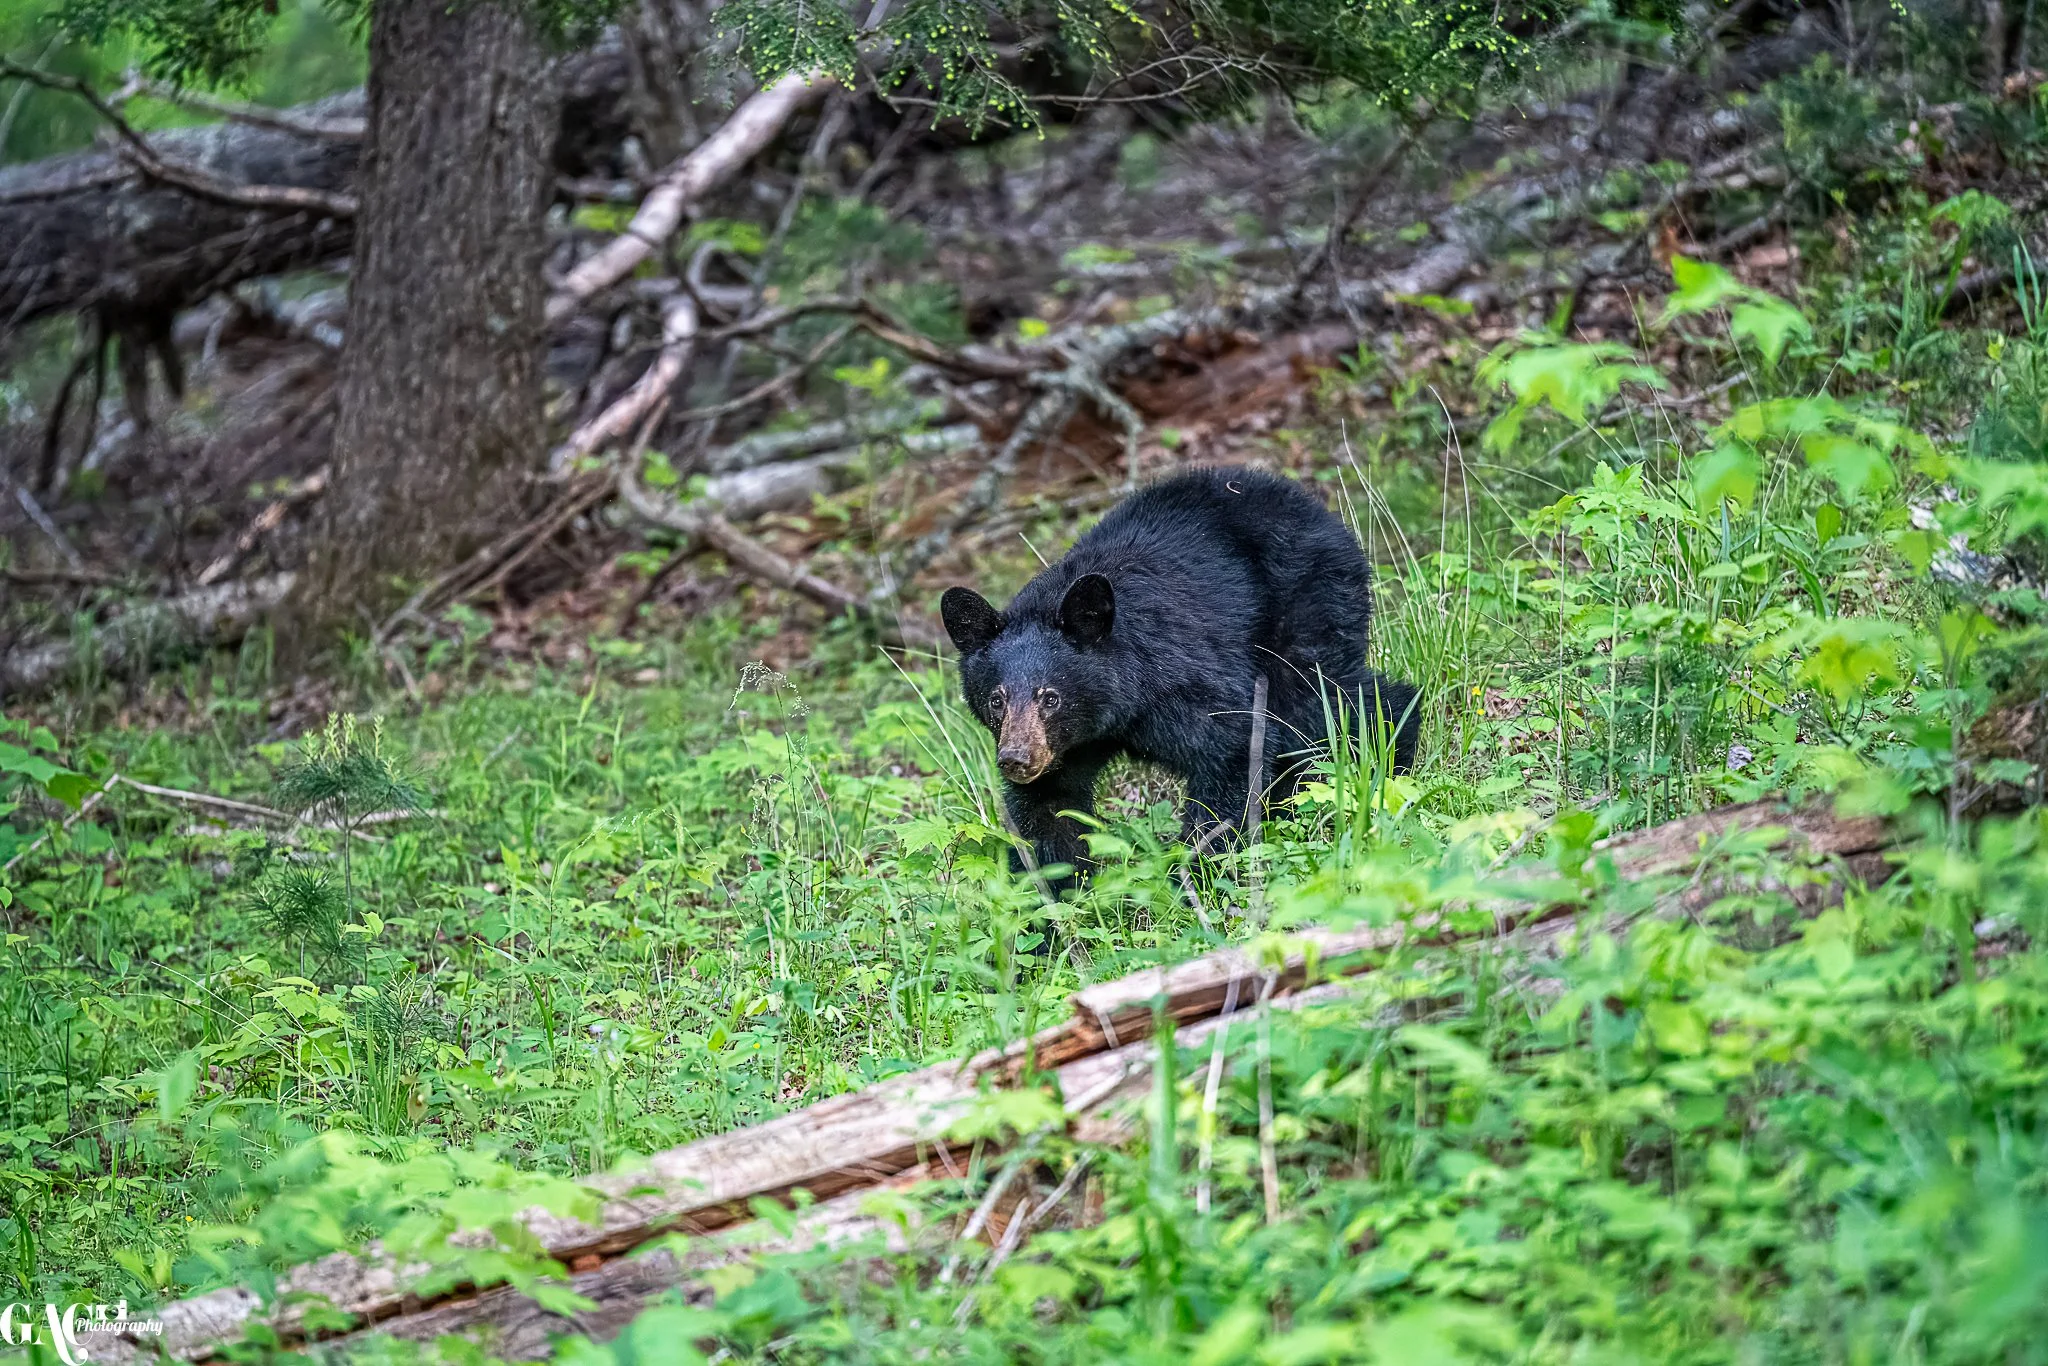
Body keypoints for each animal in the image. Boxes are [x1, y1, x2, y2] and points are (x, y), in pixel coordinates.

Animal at [940, 465, 1420, 892]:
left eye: (1051, 697)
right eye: (997, 699)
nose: (1016, 758)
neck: (1117, 707)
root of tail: (1316, 508)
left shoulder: (1180, 682)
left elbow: (1232, 746)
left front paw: (1194, 876)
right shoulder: (1065, 749)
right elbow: (1048, 814)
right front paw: (1052, 910)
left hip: (1306, 607)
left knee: (1323, 702)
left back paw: (1391, 759)